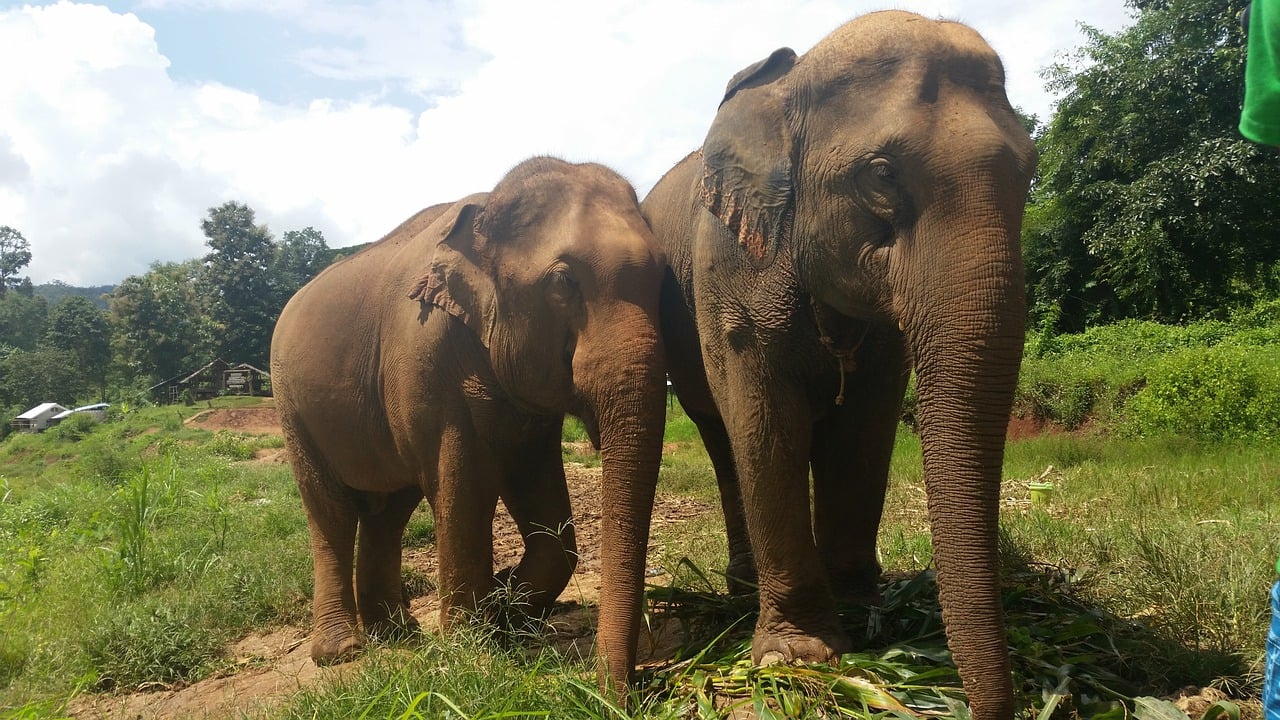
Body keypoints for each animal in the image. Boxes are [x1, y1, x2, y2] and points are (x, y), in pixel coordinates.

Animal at [270, 156, 666, 693]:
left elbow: (543, 502)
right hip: (292, 407)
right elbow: (463, 488)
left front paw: (502, 610)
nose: (621, 694)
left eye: (665, 275)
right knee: (330, 510)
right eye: (564, 282)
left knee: (387, 512)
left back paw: (398, 634)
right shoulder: (427, 360)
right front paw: (472, 647)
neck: (486, 210)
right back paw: (342, 651)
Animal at [640, 11, 1036, 720]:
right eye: (881, 174)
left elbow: (865, 431)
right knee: (722, 437)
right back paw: (744, 590)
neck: (793, 85)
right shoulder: (731, 268)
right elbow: (767, 425)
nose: (990, 707)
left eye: (1033, 168)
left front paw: (865, 613)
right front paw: (800, 657)